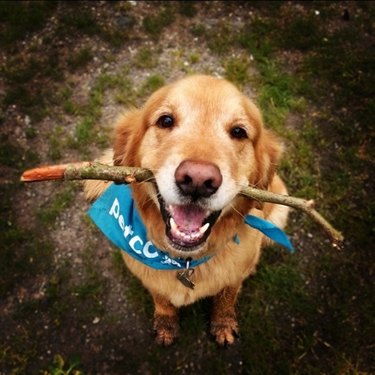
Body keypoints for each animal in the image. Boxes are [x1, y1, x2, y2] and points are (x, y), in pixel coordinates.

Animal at [86, 75, 290, 346]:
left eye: (239, 132)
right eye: (166, 120)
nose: (198, 180)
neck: (184, 262)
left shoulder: (235, 274)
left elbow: (227, 297)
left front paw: (223, 324)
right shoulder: (149, 277)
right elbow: (162, 299)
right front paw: (166, 325)